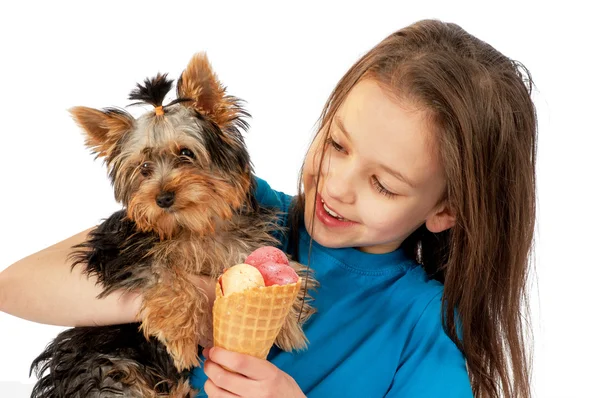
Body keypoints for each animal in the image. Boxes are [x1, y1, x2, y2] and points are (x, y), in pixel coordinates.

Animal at [30, 53, 316, 398]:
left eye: (186, 154)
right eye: (144, 167)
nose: (162, 198)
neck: (192, 226)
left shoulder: (241, 238)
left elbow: (262, 263)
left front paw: (286, 321)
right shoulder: (120, 255)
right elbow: (167, 274)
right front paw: (181, 338)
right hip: (106, 370)